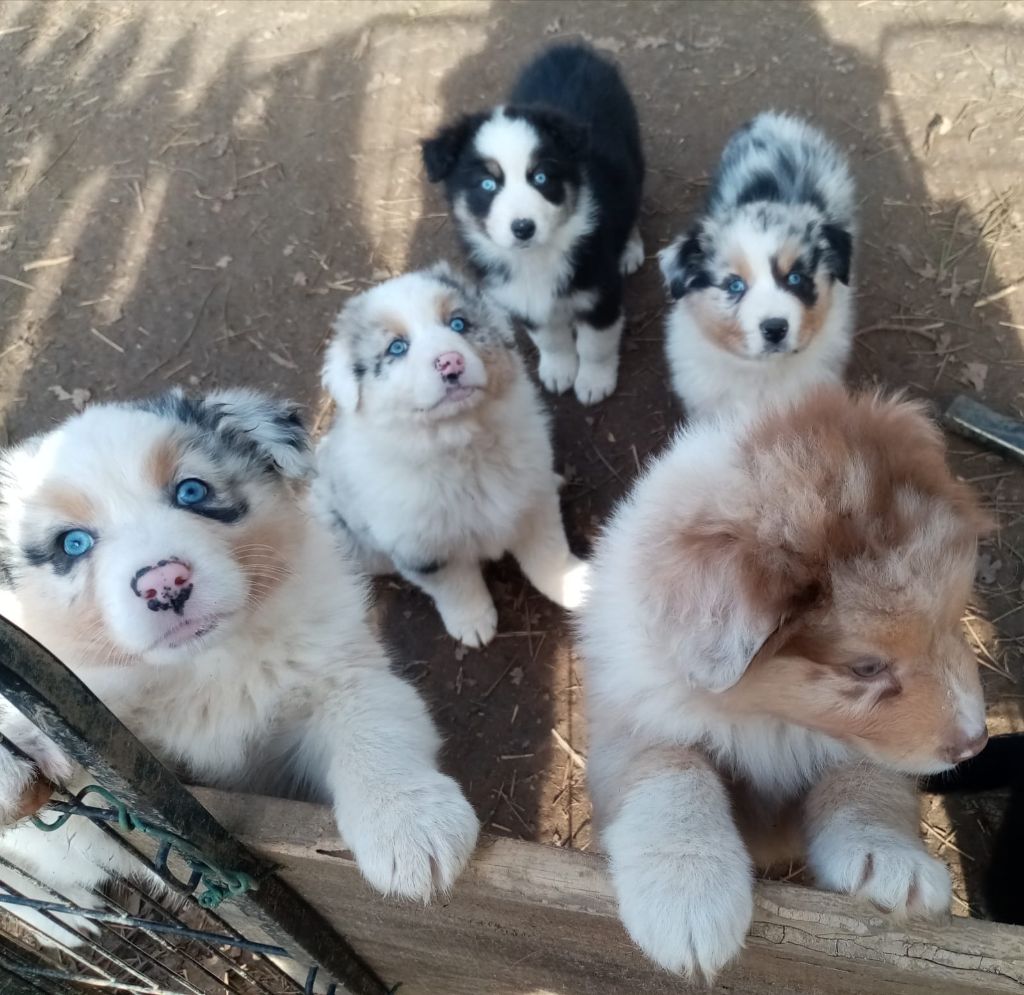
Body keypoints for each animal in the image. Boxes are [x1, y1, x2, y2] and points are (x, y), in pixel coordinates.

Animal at [0, 388, 479, 949]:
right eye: (73, 544)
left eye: (191, 491)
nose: (164, 583)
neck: (207, 665)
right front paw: (19, 748)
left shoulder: (344, 670)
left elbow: (373, 726)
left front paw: (409, 822)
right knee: (24, 881)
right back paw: (66, 922)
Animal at [309, 264, 585, 651]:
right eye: (397, 347)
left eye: (458, 324)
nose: (450, 361)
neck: (463, 448)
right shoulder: (425, 552)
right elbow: (456, 588)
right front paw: (472, 624)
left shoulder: (532, 502)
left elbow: (548, 552)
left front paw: (574, 584)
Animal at [419, 43, 643, 403]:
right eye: (487, 184)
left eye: (540, 177)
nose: (523, 228)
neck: (536, 257)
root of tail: (569, 48)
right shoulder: (522, 297)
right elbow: (550, 340)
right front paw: (559, 371)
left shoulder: (600, 291)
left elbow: (596, 345)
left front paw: (594, 382)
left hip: (632, 151)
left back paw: (631, 250)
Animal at [581, 386, 987, 978]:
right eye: (866, 668)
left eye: (954, 621)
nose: (976, 742)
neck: (767, 721)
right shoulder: (630, 721)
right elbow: (671, 773)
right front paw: (688, 893)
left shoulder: (858, 748)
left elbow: (865, 781)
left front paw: (892, 861)